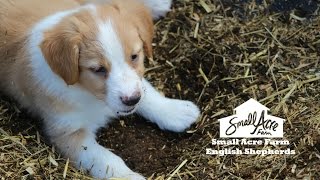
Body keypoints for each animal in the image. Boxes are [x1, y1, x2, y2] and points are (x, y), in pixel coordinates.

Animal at [0, 0, 200, 179]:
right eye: (98, 69)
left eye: (134, 56)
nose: (131, 100)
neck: (89, 94)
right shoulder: (68, 134)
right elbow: (107, 161)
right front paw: (128, 176)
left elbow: (147, 93)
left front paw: (175, 111)